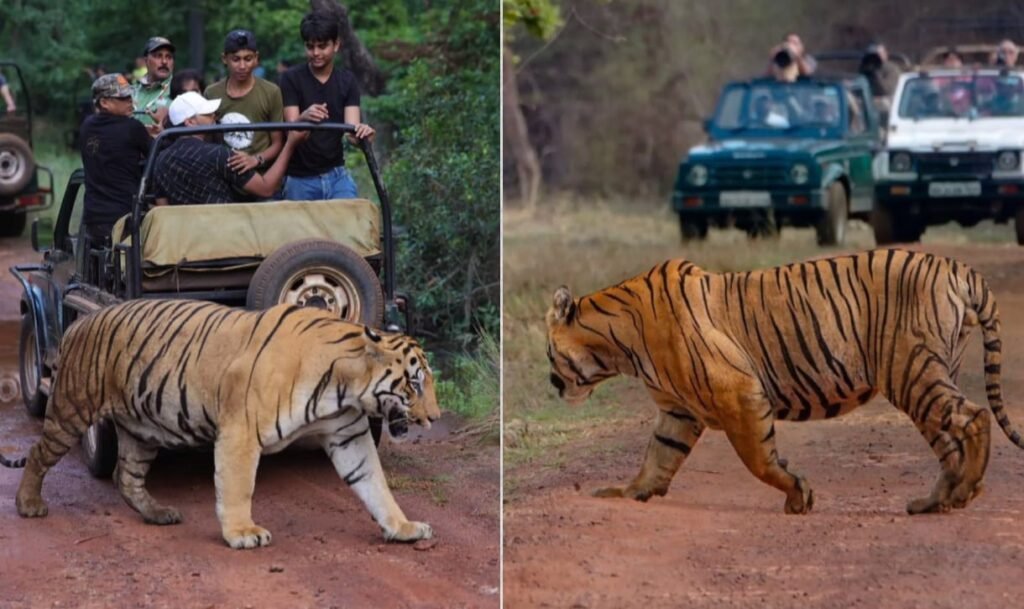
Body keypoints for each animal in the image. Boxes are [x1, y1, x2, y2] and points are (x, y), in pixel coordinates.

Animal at [1, 299, 441, 549]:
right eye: (415, 384)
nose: (434, 418)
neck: (346, 387)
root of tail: (77, 322)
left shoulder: (348, 434)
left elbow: (374, 485)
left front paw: (403, 527)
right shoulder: (241, 432)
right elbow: (238, 486)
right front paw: (242, 533)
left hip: (142, 427)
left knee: (126, 476)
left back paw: (158, 513)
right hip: (72, 409)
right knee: (39, 453)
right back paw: (29, 504)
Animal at [546, 248, 1024, 515]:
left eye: (549, 353)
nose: (552, 384)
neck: (618, 347)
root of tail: (958, 267)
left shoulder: (737, 391)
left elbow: (759, 460)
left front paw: (798, 496)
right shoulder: (678, 410)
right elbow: (658, 457)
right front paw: (627, 492)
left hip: (912, 370)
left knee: (976, 418)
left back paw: (965, 490)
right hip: (926, 376)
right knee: (950, 442)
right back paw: (936, 502)